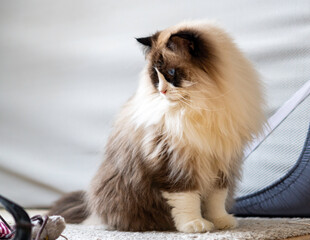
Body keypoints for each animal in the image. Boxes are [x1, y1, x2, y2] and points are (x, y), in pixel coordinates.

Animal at [49, 21, 266, 232]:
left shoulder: (221, 162)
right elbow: (187, 199)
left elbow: (216, 200)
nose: (162, 91)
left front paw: (221, 222)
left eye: (170, 73)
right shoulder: (174, 162)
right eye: (155, 75)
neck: (198, 106)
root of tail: (92, 210)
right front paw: (195, 225)